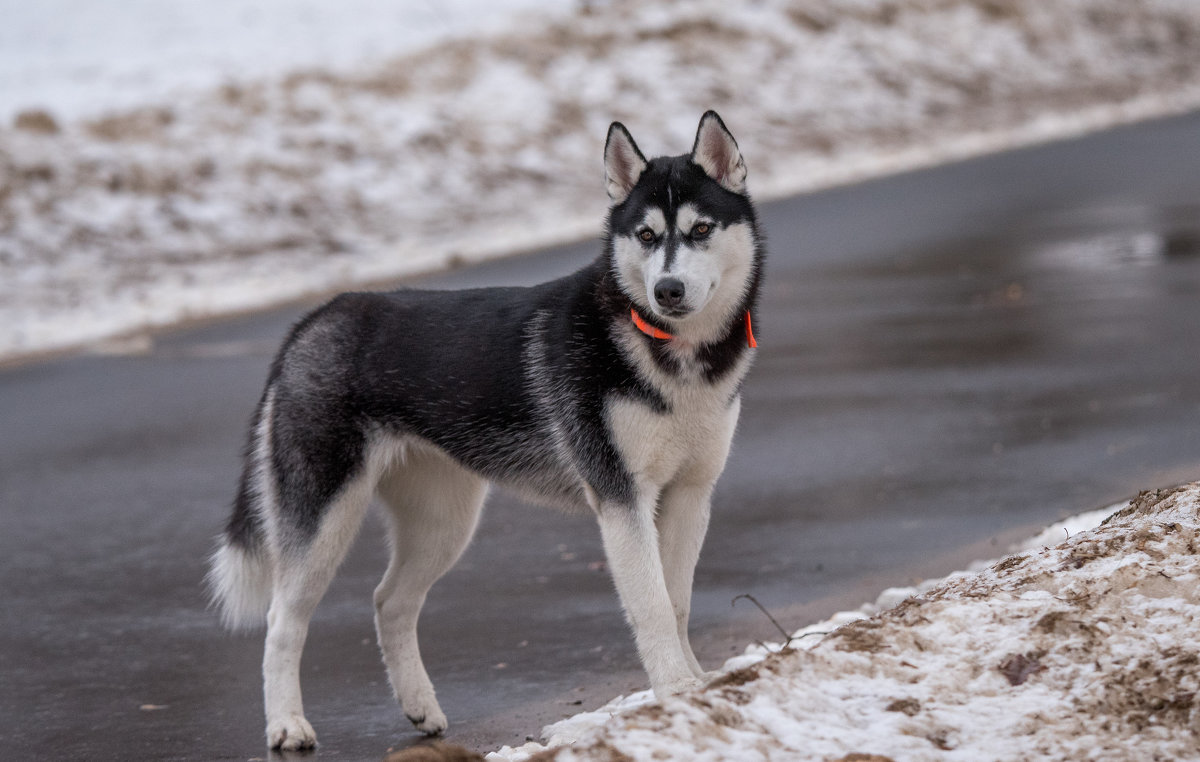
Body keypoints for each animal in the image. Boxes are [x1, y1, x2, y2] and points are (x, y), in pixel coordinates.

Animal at [210, 113, 763, 753]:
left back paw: (421, 707)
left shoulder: (690, 495)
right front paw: (675, 689)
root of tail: (314, 319)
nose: (667, 290)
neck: (671, 354)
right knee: (283, 621)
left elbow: (676, 602)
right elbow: (650, 604)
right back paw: (286, 725)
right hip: (325, 519)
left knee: (389, 602)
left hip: (445, 521)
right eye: (647, 236)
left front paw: (697, 682)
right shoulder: (622, 499)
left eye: (700, 229)